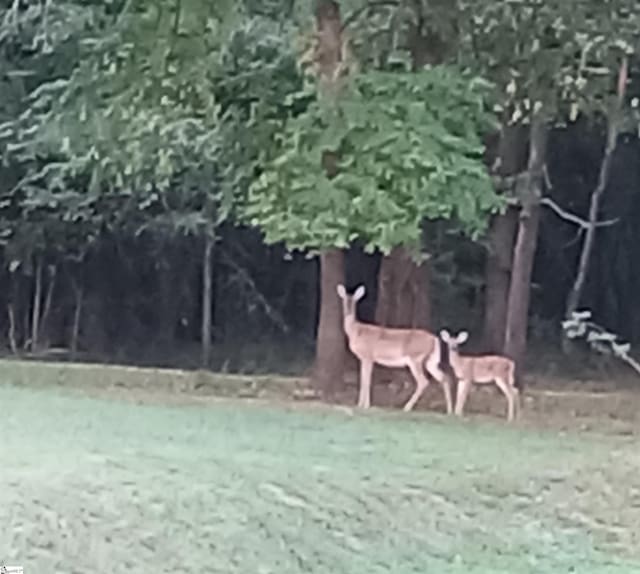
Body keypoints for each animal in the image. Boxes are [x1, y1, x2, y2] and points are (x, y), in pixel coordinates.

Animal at [338, 286, 452, 416]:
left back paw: (406, 408)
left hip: (415, 358)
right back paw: (450, 411)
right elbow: (364, 379)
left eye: (354, 302)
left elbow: (366, 380)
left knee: (423, 381)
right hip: (431, 361)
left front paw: (364, 405)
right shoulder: (364, 358)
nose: (348, 312)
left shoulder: (368, 356)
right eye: (344, 300)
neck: (356, 332)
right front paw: (361, 405)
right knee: (445, 377)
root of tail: (434, 339)